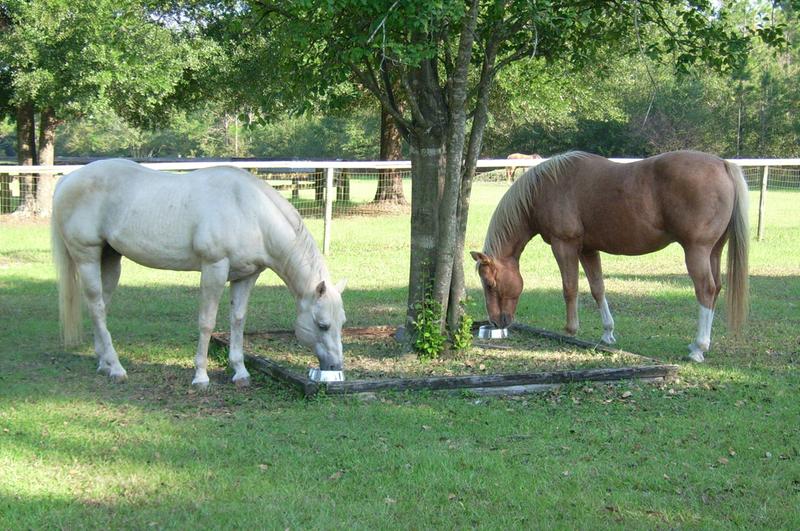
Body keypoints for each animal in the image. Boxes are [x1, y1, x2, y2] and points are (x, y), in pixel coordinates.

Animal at [51, 159, 347, 387]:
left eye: (342, 323)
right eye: (322, 324)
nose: (335, 367)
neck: (249, 211)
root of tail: (68, 179)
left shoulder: (246, 276)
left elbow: (238, 320)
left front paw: (240, 372)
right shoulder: (214, 268)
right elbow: (207, 321)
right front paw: (201, 376)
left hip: (110, 259)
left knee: (99, 306)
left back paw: (104, 363)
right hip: (87, 257)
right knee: (97, 306)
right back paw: (116, 368)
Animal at [471, 150, 749, 362]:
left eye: (490, 284)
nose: (496, 322)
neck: (545, 188)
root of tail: (722, 165)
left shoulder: (565, 246)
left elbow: (570, 287)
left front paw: (570, 330)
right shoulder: (588, 250)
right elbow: (598, 289)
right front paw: (607, 334)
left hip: (696, 251)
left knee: (706, 290)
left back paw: (698, 348)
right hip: (713, 251)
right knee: (717, 288)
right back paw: (698, 345)